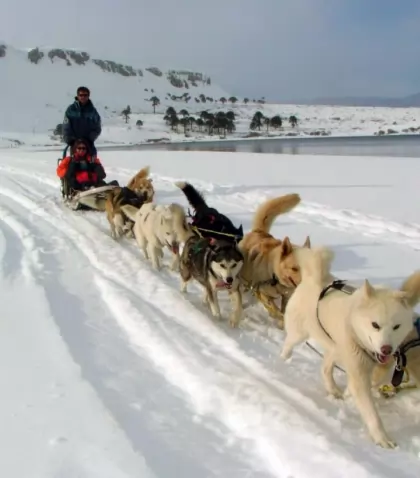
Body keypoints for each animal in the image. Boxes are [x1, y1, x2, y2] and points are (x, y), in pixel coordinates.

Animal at [278, 246, 420, 448]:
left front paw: (347, 394)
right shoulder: (359, 371)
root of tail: (315, 277)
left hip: (336, 349)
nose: (386, 348)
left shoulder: (383, 363)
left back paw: (333, 389)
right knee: (289, 344)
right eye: (375, 325)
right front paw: (382, 438)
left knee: (325, 368)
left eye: (396, 327)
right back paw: (283, 360)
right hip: (300, 334)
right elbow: (371, 413)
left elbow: (377, 378)